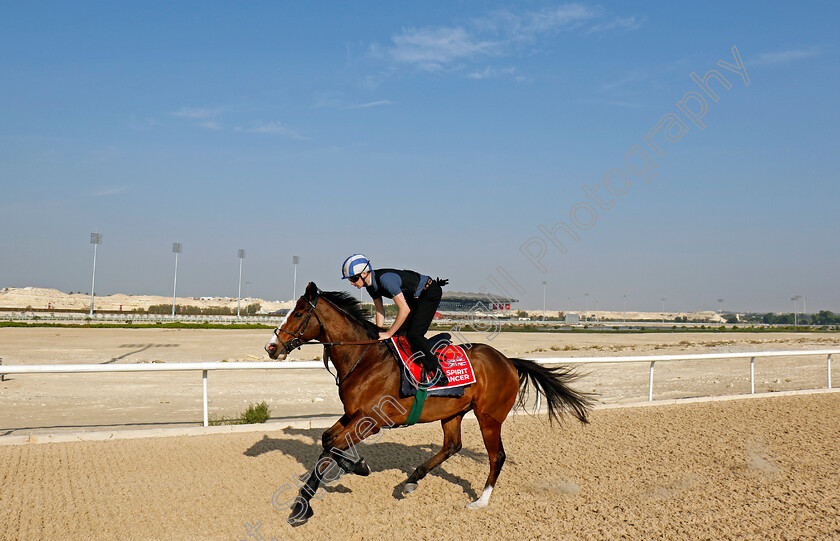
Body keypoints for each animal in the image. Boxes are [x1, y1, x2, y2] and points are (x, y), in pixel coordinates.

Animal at [264, 280, 592, 524]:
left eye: (297, 314)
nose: (271, 347)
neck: (365, 358)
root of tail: (508, 361)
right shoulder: (354, 415)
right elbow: (327, 438)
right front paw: (354, 466)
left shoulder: (372, 420)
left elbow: (332, 444)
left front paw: (303, 507)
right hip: (454, 413)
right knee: (452, 445)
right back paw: (411, 480)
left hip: (489, 417)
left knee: (496, 456)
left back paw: (480, 501)